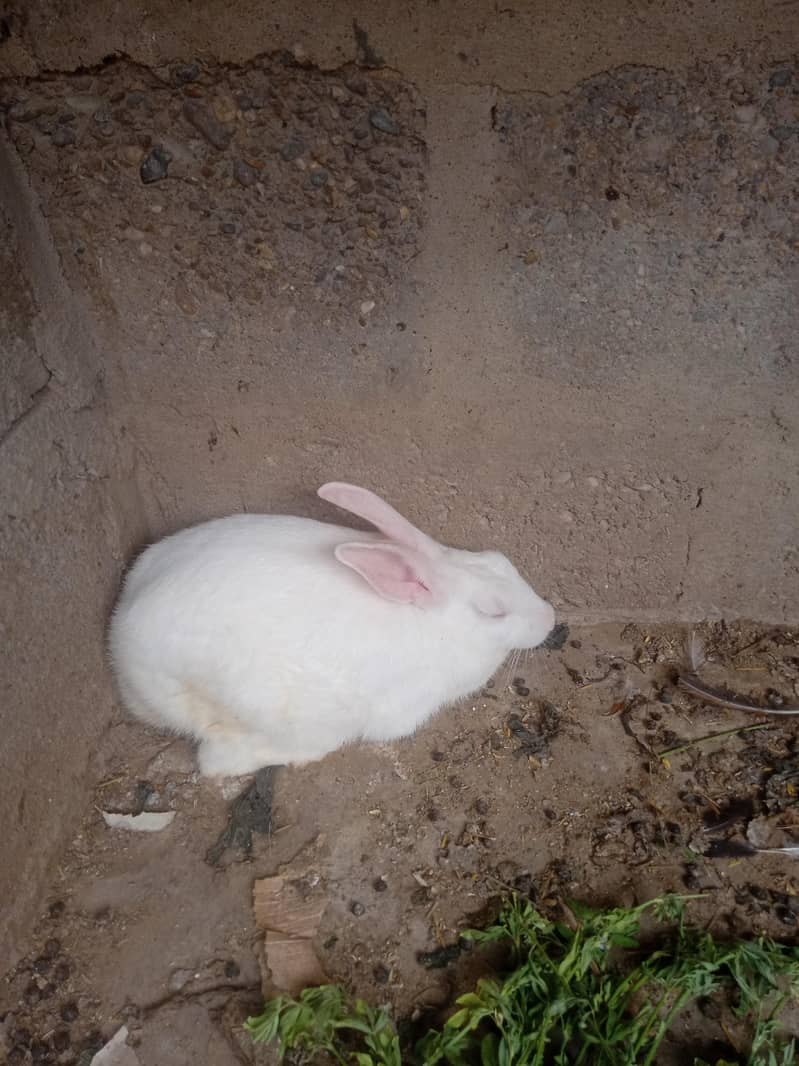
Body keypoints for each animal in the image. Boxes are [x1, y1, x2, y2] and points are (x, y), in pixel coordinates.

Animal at [108, 482, 555, 777]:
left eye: (502, 562)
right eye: (493, 612)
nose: (550, 618)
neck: (431, 620)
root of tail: (121, 639)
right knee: (217, 762)